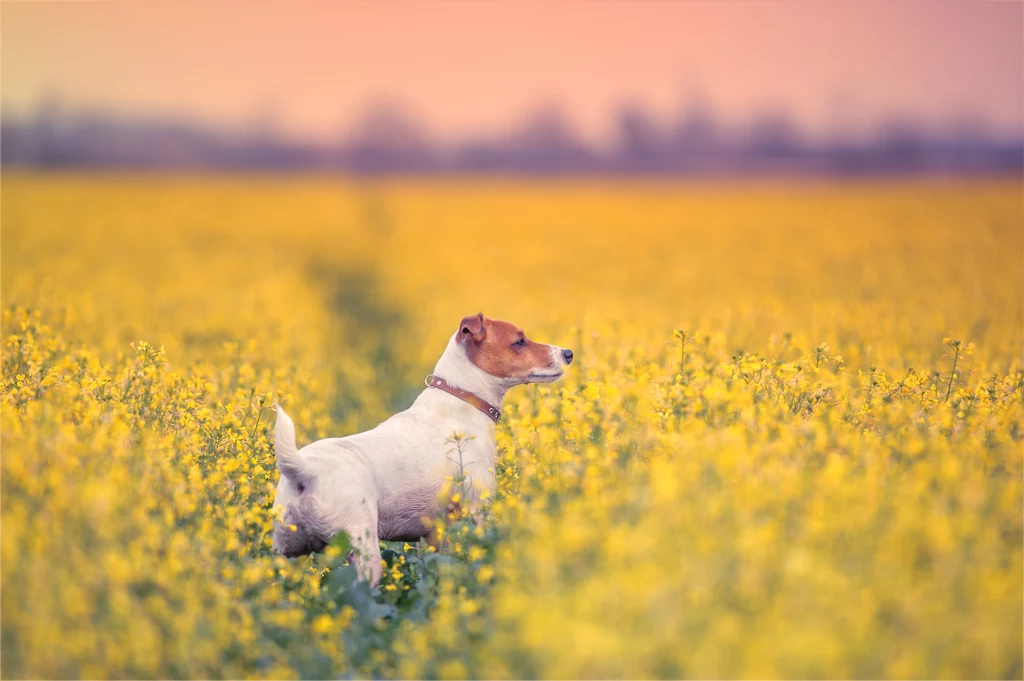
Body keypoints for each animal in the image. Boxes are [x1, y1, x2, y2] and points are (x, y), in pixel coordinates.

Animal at [272, 311, 573, 581]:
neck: (462, 397)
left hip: (286, 553)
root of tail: (305, 471)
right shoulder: (479, 509)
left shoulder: (433, 532)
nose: (568, 353)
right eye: (519, 341)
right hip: (363, 549)